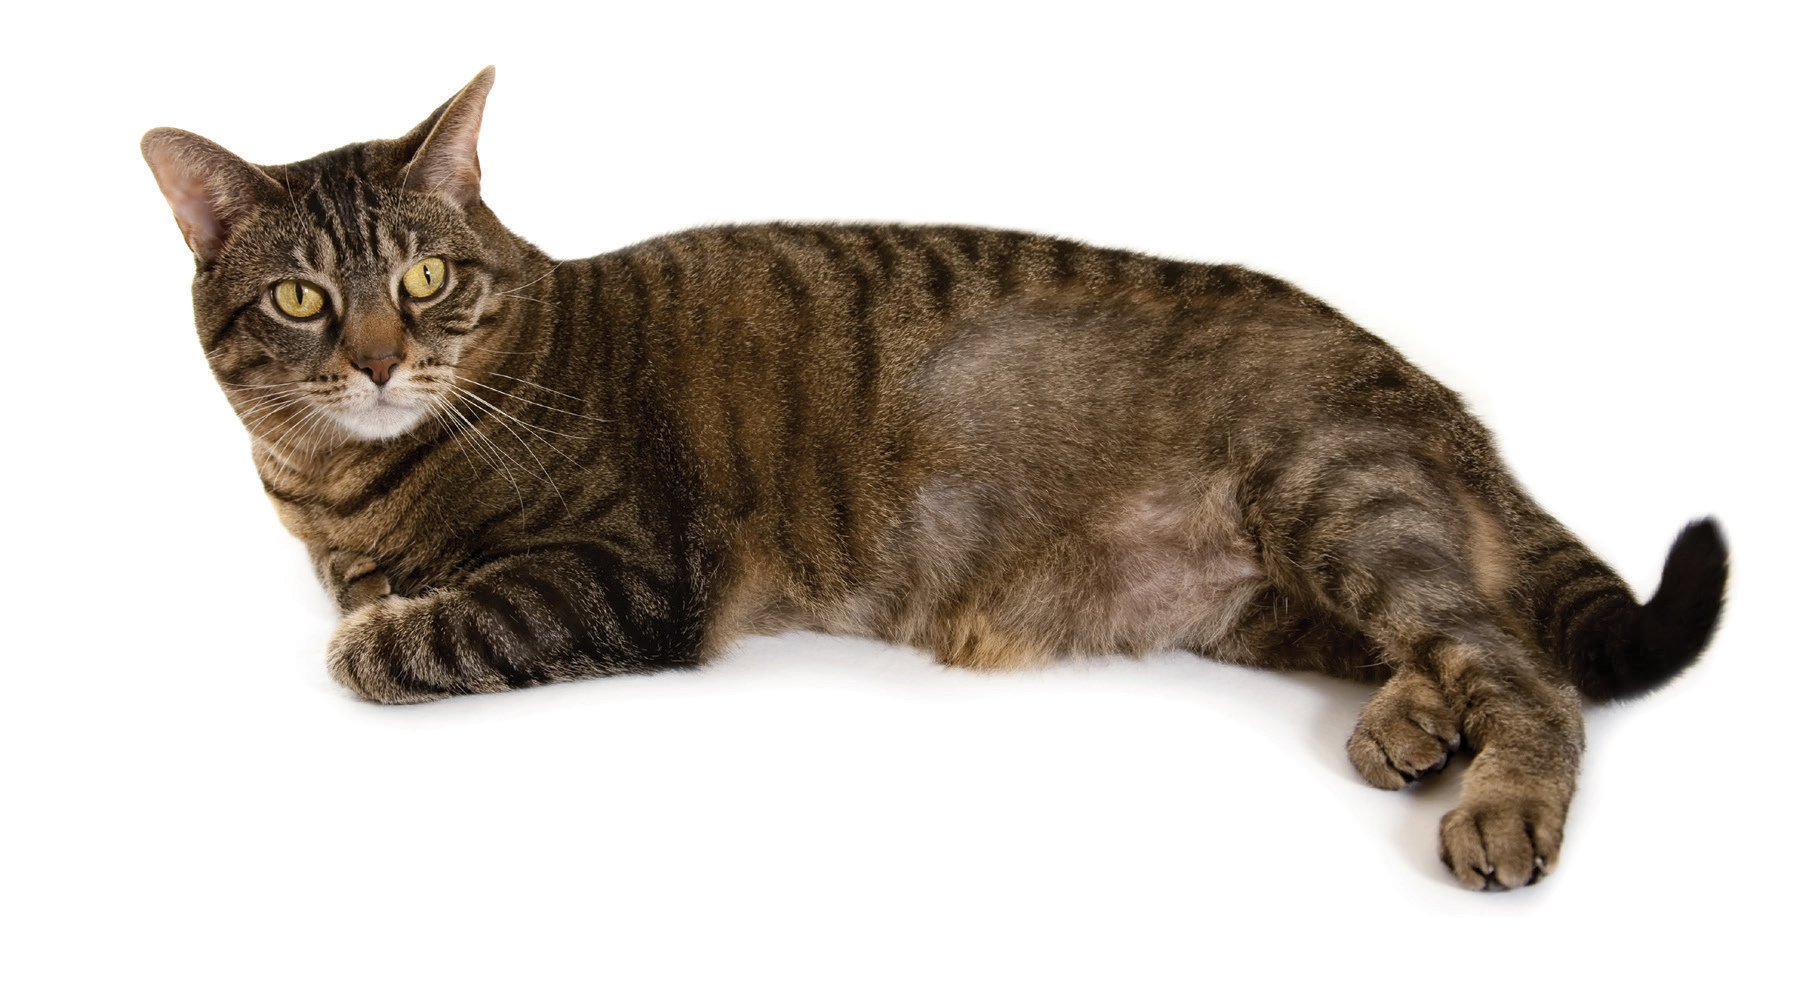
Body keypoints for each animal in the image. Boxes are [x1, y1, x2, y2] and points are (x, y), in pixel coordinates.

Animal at [142, 67, 1726, 890]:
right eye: (300, 299)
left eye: (423, 277)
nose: (376, 360)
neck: (338, 483)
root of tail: (1417, 379)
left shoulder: (628, 576)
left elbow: (400, 638)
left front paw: (375, 629)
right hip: (1277, 590)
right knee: (1478, 637)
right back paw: (1410, 722)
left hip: (1333, 497)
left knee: (1520, 665)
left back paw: (1497, 795)